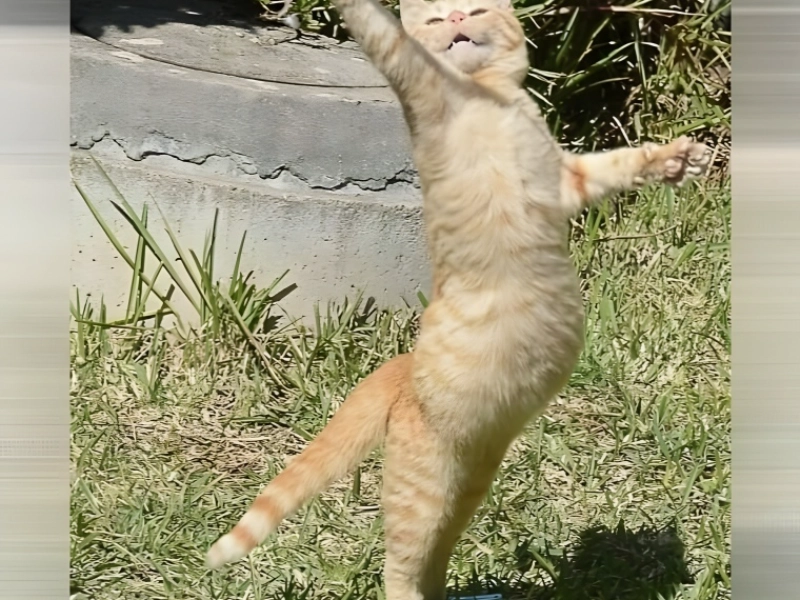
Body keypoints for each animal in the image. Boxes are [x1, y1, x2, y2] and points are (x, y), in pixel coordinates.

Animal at [206, 0, 711, 598]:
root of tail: (401, 368)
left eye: (475, 9)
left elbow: (618, 164)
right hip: (422, 489)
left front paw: (677, 160)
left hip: (465, 488)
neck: (490, 97)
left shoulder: (567, 180)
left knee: (432, 558)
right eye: (433, 19)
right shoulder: (418, 82)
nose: (454, 21)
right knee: (399, 567)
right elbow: (379, 32)